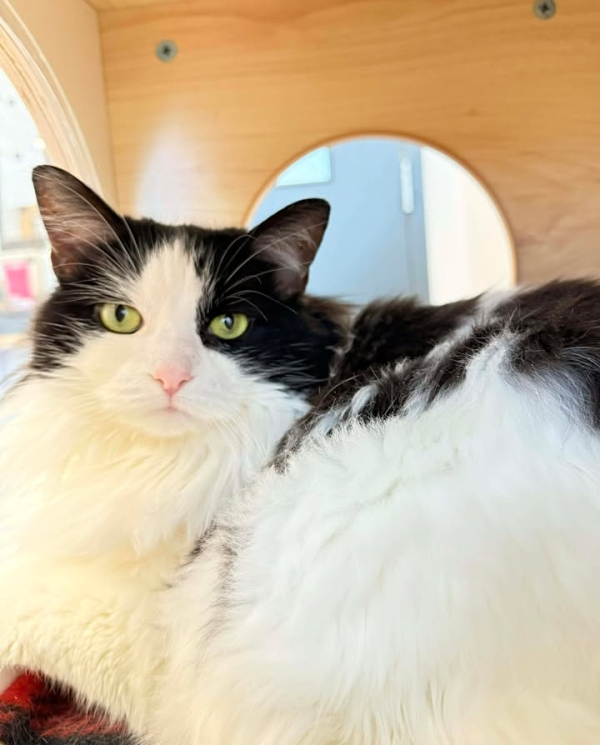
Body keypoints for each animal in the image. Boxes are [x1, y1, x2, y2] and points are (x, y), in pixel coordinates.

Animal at [0, 165, 346, 725]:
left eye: (229, 324)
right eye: (120, 317)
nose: (171, 377)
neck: (160, 463)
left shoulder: (153, 652)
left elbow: (20, 597)